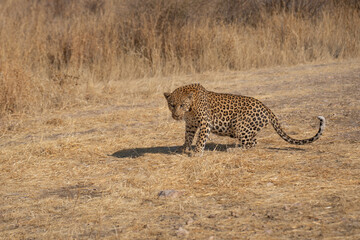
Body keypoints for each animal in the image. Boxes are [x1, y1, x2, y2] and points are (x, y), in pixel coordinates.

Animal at [165, 83, 324, 155]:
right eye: (172, 105)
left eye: (182, 105)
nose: (176, 115)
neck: (190, 109)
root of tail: (266, 108)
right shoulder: (190, 124)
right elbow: (188, 137)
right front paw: (184, 148)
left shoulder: (205, 123)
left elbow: (200, 138)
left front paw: (197, 152)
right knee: (254, 141)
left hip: (239, 125)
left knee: (251, 144)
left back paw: (234, 150)